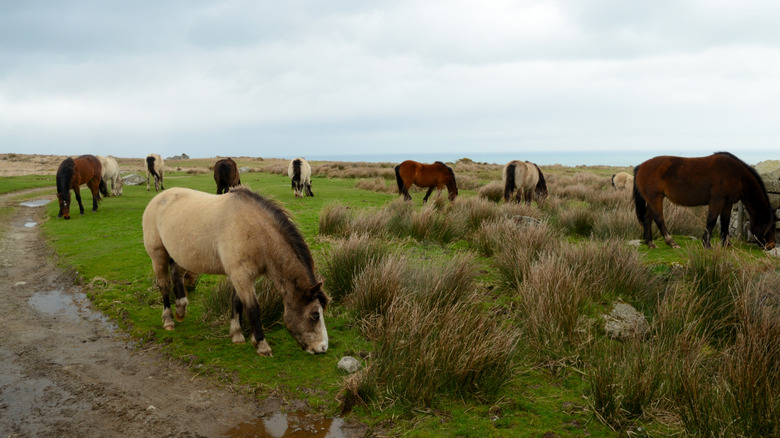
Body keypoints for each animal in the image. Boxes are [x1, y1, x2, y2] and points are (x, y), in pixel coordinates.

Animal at [142, 186, 329, 356]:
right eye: (315, 315)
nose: (322, 347)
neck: (254, 231)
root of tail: (158, 198)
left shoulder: (238, 276)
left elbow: (236, 302)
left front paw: (237, 334)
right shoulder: (241, 276)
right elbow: (253, 308)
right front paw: (261, 344)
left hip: (181, 256)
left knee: (177, 275)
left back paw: (181, 309)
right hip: (158, 255)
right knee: (164, 285)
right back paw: (168, 320)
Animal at [633, 152, 776, 250]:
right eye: (770, 227)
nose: (771, 246)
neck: (736, 174)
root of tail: (640, 166)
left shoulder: (727, 203)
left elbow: (725, 222)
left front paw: (726, 244)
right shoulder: (717, 200)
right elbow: (711, 221)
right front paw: (707, 244)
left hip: (652, 199)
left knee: (647, 219)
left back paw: (650, 243)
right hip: (655, 198)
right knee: (659, 219)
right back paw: (672, 242)